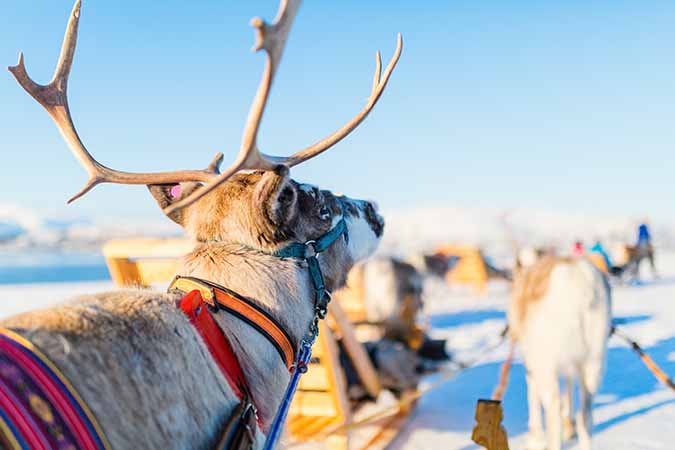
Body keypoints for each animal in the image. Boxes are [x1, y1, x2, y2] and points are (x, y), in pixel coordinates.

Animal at [508, 250, 612, 450]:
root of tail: (580, 282)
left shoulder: (534, 363)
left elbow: (533, 396)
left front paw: (535, 438)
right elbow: (569, 392)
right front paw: (568, 428)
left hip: (546, 366)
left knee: (553, 410)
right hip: (593, 362)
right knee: (585, 416)